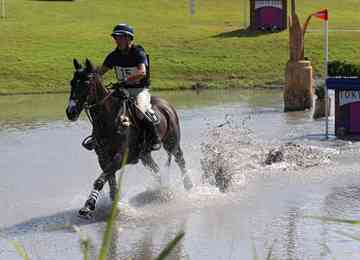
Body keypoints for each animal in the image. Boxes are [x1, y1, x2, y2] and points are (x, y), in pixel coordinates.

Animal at [65, 58, 193, 217]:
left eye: (87, 82)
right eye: (72, 82)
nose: (71, 111)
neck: (109, 118)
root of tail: (166, 104)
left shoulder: (122, 156)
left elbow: (101, 180)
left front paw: (88, 206)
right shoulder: (103, 157)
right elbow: (109, 180)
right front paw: (112, 205)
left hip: (171, 142)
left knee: (180, 159)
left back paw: (188, 185)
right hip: (144, 154)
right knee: (156, 170)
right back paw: (163, 191)